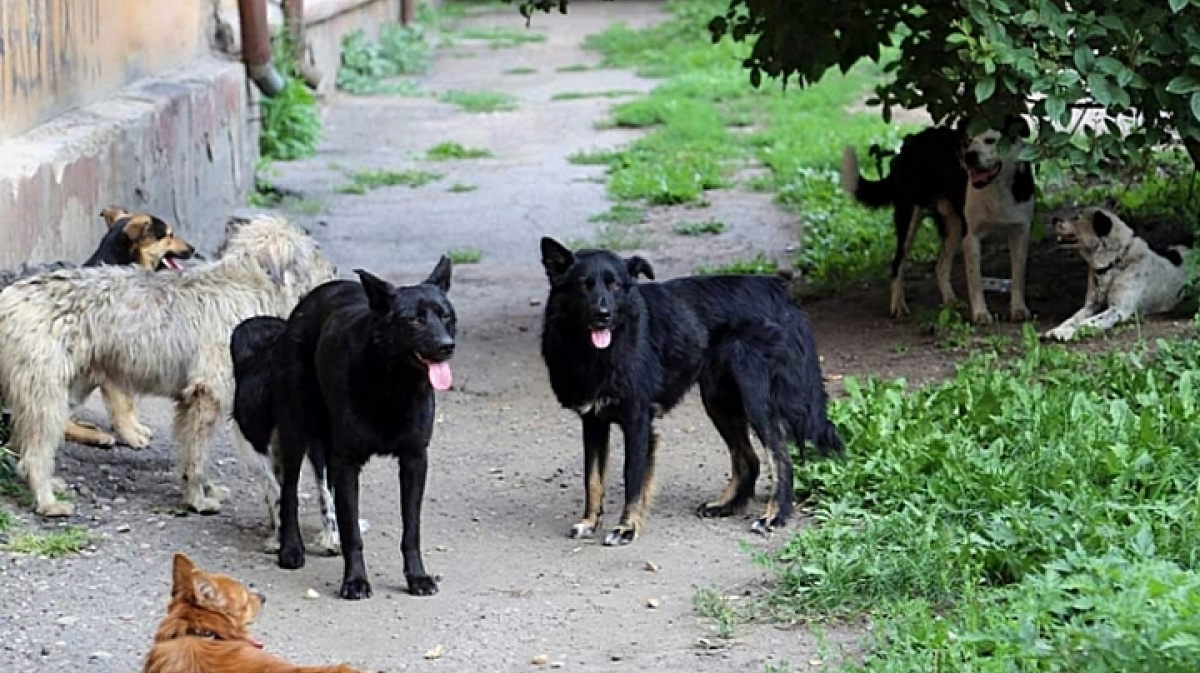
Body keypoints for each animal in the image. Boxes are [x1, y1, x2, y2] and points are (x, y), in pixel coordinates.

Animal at [0, 213, 336, 513]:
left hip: (62, 391)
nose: (335, 268)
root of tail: (9, 296)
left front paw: (203, 490)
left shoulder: (191, 403)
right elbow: (199, 457)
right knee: (34, 453)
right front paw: (198, 500)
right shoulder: (207, 395)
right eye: (315, 251)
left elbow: (191, 453)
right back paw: (48, 502)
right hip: (47, 395)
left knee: (19, 444)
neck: (248, 282)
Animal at [238, 256, 453, 597]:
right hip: (296, 429)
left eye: (446, 316)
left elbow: (411, 529)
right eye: (415, 320)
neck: (392, 385)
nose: (448, 346)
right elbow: (352, 533)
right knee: (289, 491)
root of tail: (310, 299)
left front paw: (417, 577)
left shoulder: (414, 460)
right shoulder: (348, 461)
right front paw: (354, 580)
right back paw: (291, 548)